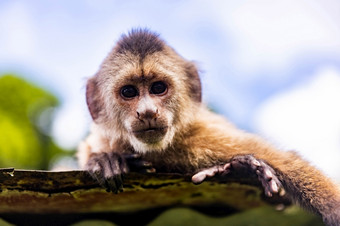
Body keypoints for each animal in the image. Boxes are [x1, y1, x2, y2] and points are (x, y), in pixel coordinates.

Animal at [78, 29, 340, 225]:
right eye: (129, 92)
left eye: (158, 88)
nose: (148, 112)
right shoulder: (108, 138)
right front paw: (104, 161)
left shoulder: (202, 137)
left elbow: (288, 163)